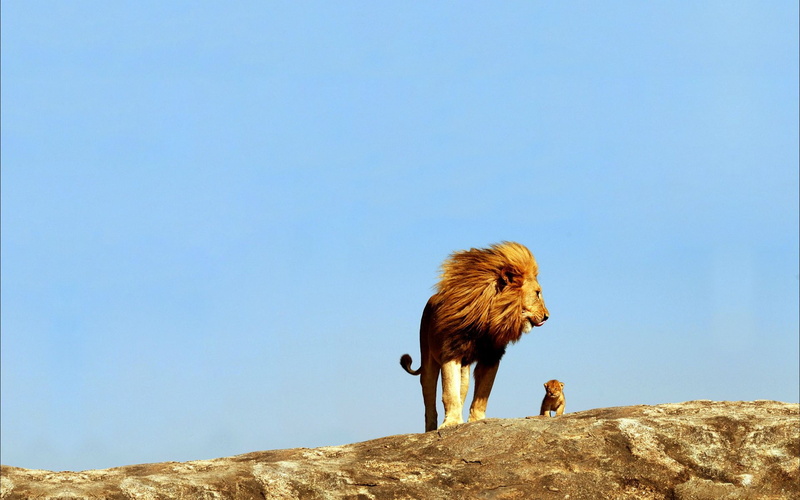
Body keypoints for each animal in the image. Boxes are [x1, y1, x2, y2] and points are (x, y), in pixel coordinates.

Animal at [400, 242, 549, 431]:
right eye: (537, 293)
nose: (547, 316)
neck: (488, 318)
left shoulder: (491, 357)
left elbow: (482, 394)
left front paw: (476, 421)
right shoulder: (451, 352)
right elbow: (449, 392)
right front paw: (451, 423)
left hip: (464, 372)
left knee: (461, 391)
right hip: (428, 360)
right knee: (429, 399)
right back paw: (431, 428)